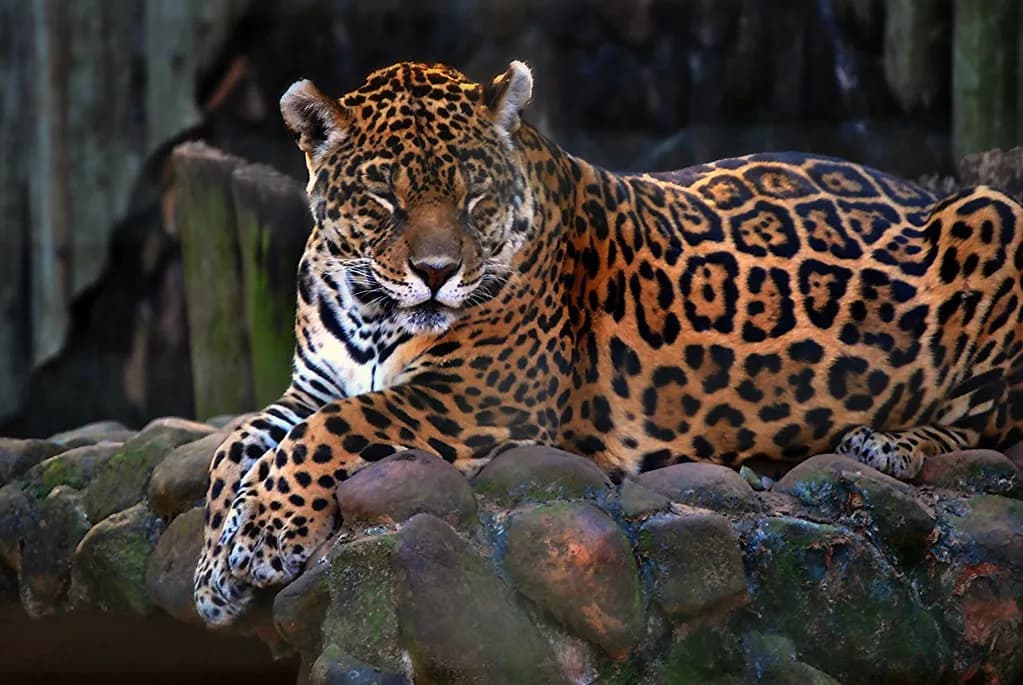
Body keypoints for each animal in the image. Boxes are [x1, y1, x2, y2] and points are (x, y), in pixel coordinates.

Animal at [194, 59, 1023, 626]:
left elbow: (339, 427)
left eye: (473, 197)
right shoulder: (311, 384)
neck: (370, 308)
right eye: (381, 199)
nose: (436, 273)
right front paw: (213, 567)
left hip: (992, 217)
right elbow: (235, 443)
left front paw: (263, 534)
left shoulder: (481, 397)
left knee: (993, 422)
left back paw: (887, 442)